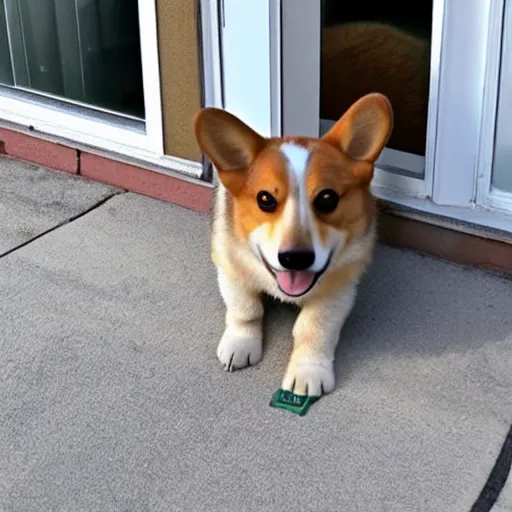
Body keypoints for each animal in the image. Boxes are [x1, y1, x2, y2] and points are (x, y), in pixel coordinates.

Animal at [195, 94, 392, 396]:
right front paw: (241, 343)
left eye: (327, 199)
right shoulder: (230, 266)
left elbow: (314, 329)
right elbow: (245, 309)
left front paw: (307, 372)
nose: (295, 258)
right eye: (265, 199)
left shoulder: (338, 289)